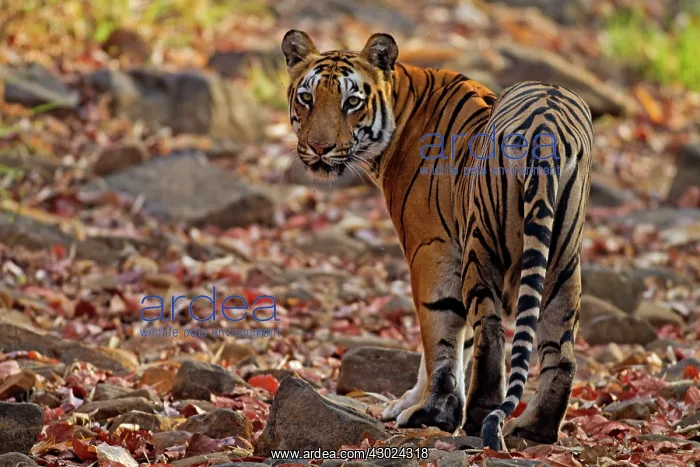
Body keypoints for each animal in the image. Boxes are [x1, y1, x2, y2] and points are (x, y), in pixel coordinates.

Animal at [281, 30, 593, 450]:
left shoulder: (431, 247)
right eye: (307, 97)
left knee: (490, 331)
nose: (319, 147)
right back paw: (535, 429)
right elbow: (456, 345)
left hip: (483, 244)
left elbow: (439, 338)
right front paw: (412, 403)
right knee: (560, 349)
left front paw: (430, 412)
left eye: (352, 102)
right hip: (562, 257)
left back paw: (478, 420)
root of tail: (546, 129)